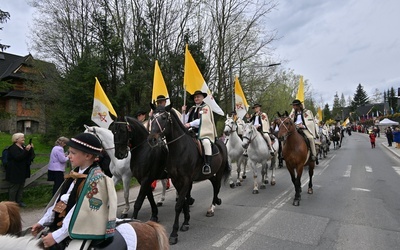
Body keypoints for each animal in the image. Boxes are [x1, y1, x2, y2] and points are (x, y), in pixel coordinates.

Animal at [148, 104, 230, 245]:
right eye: (152, 117)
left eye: (164, 117)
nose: (152, 139)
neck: (179, 149)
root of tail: (221, 142)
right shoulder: (177, 180)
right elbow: (184, 201)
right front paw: (186, 222)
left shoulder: (186, 180)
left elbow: (178, 205)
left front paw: (174, 234)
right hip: (209, 175)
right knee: (215, 185)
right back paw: (216, 201)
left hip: (219, 172)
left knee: (217, 187)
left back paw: (212, 208)